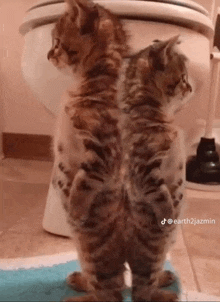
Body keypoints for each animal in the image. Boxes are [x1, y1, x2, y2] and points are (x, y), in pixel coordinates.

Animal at [47, 0, 128, 302]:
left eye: (57, 43)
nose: (48, 54)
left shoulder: (102, 153)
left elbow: (82, 183)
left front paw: (74, 208)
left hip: (95, 253)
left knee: (111, 291)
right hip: (84, 255)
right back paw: (79, 281)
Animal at [119, 36, 192, 302]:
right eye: (183, 78)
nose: (191, 88)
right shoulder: (146, 173)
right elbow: (163, 200)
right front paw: (168, 215)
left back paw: (164, 279)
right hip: (151, 252)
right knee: (141, 289)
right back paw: (167, 295)